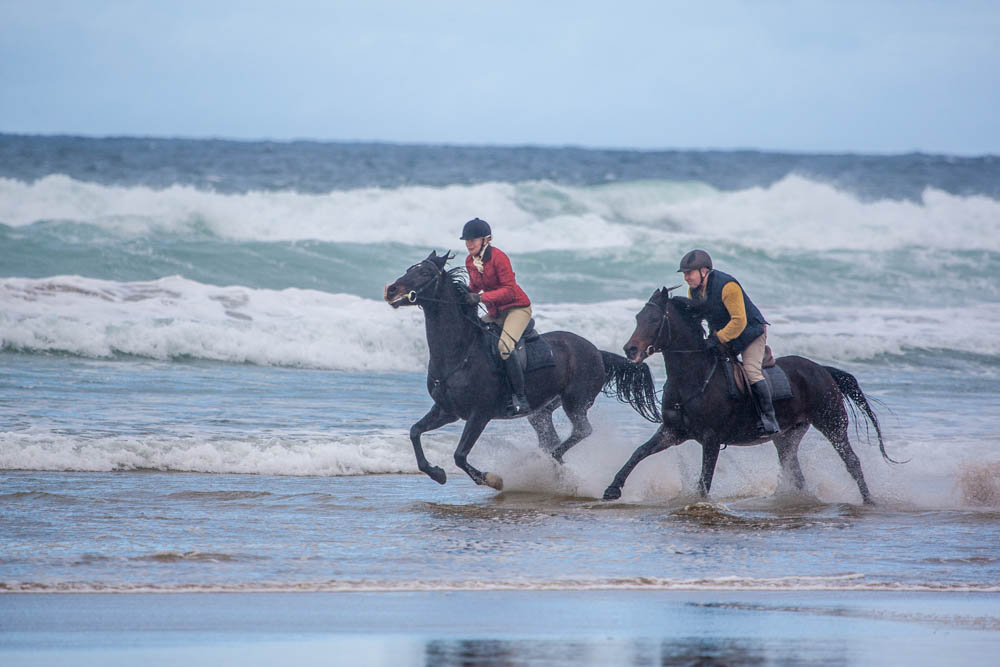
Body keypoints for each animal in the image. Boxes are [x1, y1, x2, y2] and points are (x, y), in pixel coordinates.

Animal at [386, 250, 660, 490]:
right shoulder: (447, 411)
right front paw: (436, 473)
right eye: (409, 269)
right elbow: (415, 432)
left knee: (581, 431)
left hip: (576, 402)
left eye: (424, 273)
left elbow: (460, 455)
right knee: (551, 438)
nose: (391, 290)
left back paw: (544, 463)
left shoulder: (479, 414)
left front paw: (492, 480)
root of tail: (597, 352)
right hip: (541, 410)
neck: (460, 352)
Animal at [600, 284, 900, 504]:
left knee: (851, 461)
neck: (693, 376)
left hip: (832, 423)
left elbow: (704, 481)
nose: (630, 350)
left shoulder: (711, 440)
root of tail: (821, 369)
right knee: (795, 471)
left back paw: (869, 501)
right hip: (787, 436)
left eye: (653, 319)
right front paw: (613, 488)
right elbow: (639, 452)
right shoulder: (673, 431)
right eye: (638, 318)